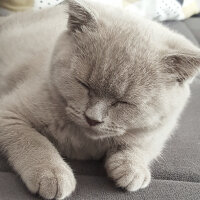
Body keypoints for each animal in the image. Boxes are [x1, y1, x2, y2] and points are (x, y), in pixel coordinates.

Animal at [0, 0, 200, 199]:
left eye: (124, 102)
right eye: (83, 84)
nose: (92, 118)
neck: (85, 142)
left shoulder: (159, 131)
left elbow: (142, 146)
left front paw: (133, 168)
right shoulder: (8, 112)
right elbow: (34, 140)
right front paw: (52, 173)